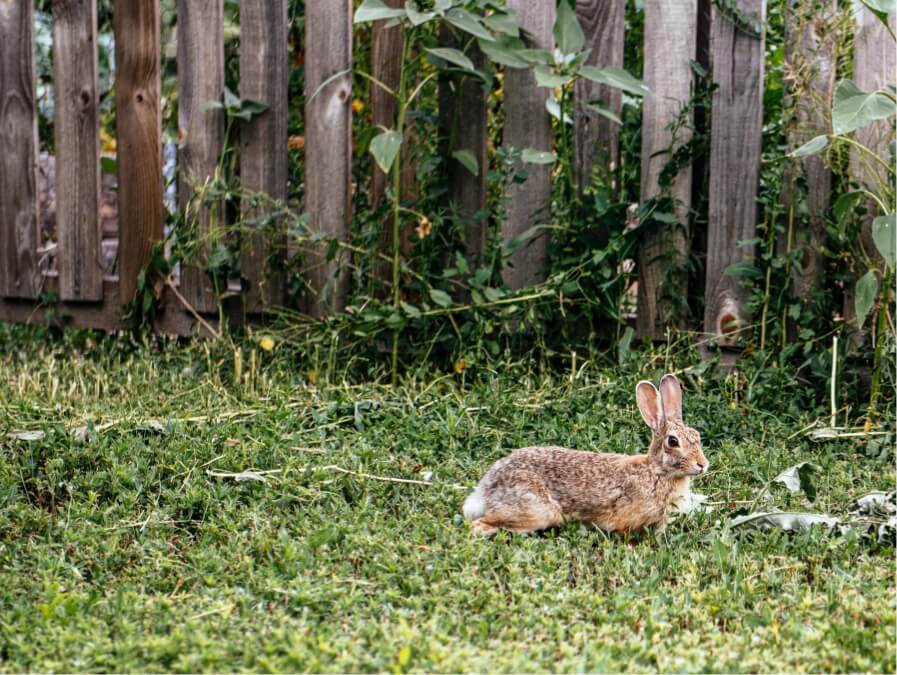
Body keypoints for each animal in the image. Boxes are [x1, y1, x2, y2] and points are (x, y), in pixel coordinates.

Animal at [462, 374, 708, 540]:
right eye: (673, 442)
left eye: (697, 435)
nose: (703, 465)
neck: (657, 471)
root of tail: (486, 488)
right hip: (534, 511)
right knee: (478, 525)